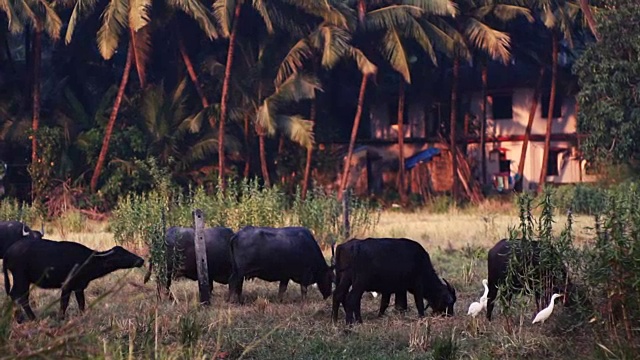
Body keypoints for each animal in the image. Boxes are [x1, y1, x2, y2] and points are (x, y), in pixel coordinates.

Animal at [2, 239, 144, 320]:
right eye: (121, 254)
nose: (141, 260)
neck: (87, 261)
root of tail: (8, 252)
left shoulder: (79, 287)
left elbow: (81, 303)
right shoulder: (67, 286)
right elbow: (64, 304)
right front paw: (61, 318)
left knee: (19, 295)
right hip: (20, 277)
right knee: (17, 295)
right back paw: (26, 318)